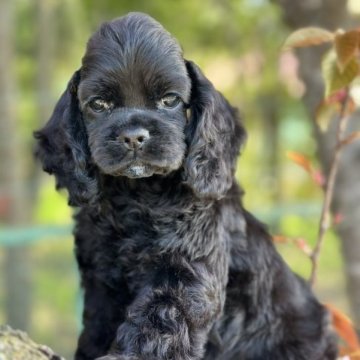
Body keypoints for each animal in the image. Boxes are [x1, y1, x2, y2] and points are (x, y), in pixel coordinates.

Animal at [34, 11, 338, 360]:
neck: (137, 195)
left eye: (170, 100)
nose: (134, 136)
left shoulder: (186, 269)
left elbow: (161, 319)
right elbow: (97, 325)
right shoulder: (101, 281)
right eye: (98, 105)